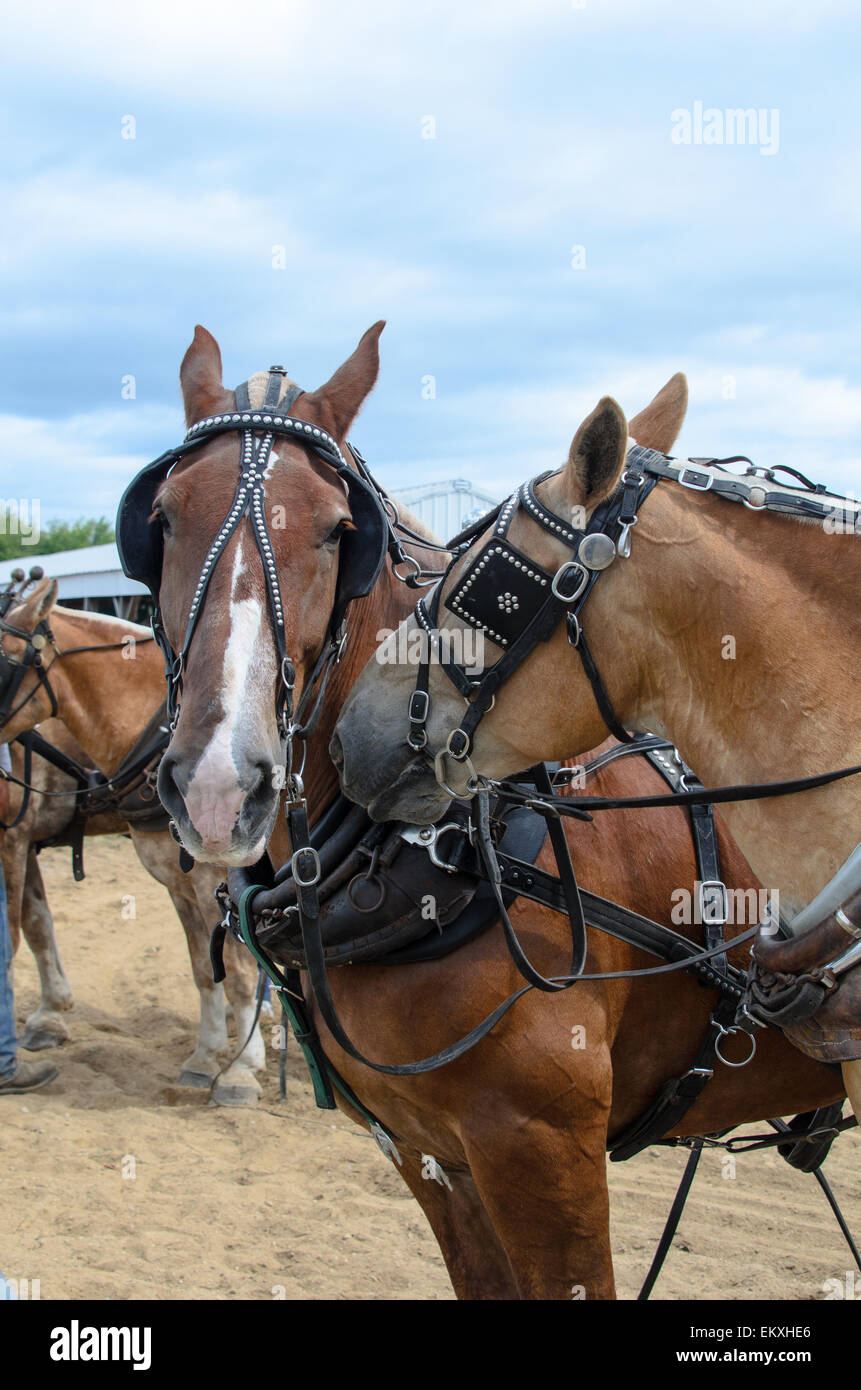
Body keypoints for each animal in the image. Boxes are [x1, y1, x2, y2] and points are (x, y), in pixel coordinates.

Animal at [0, 589, 266, 1102]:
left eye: (1, 660)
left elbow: (240, 973)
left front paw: (242, 1071)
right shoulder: (179, 884)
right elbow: (203, 969)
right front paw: (205, 1057)